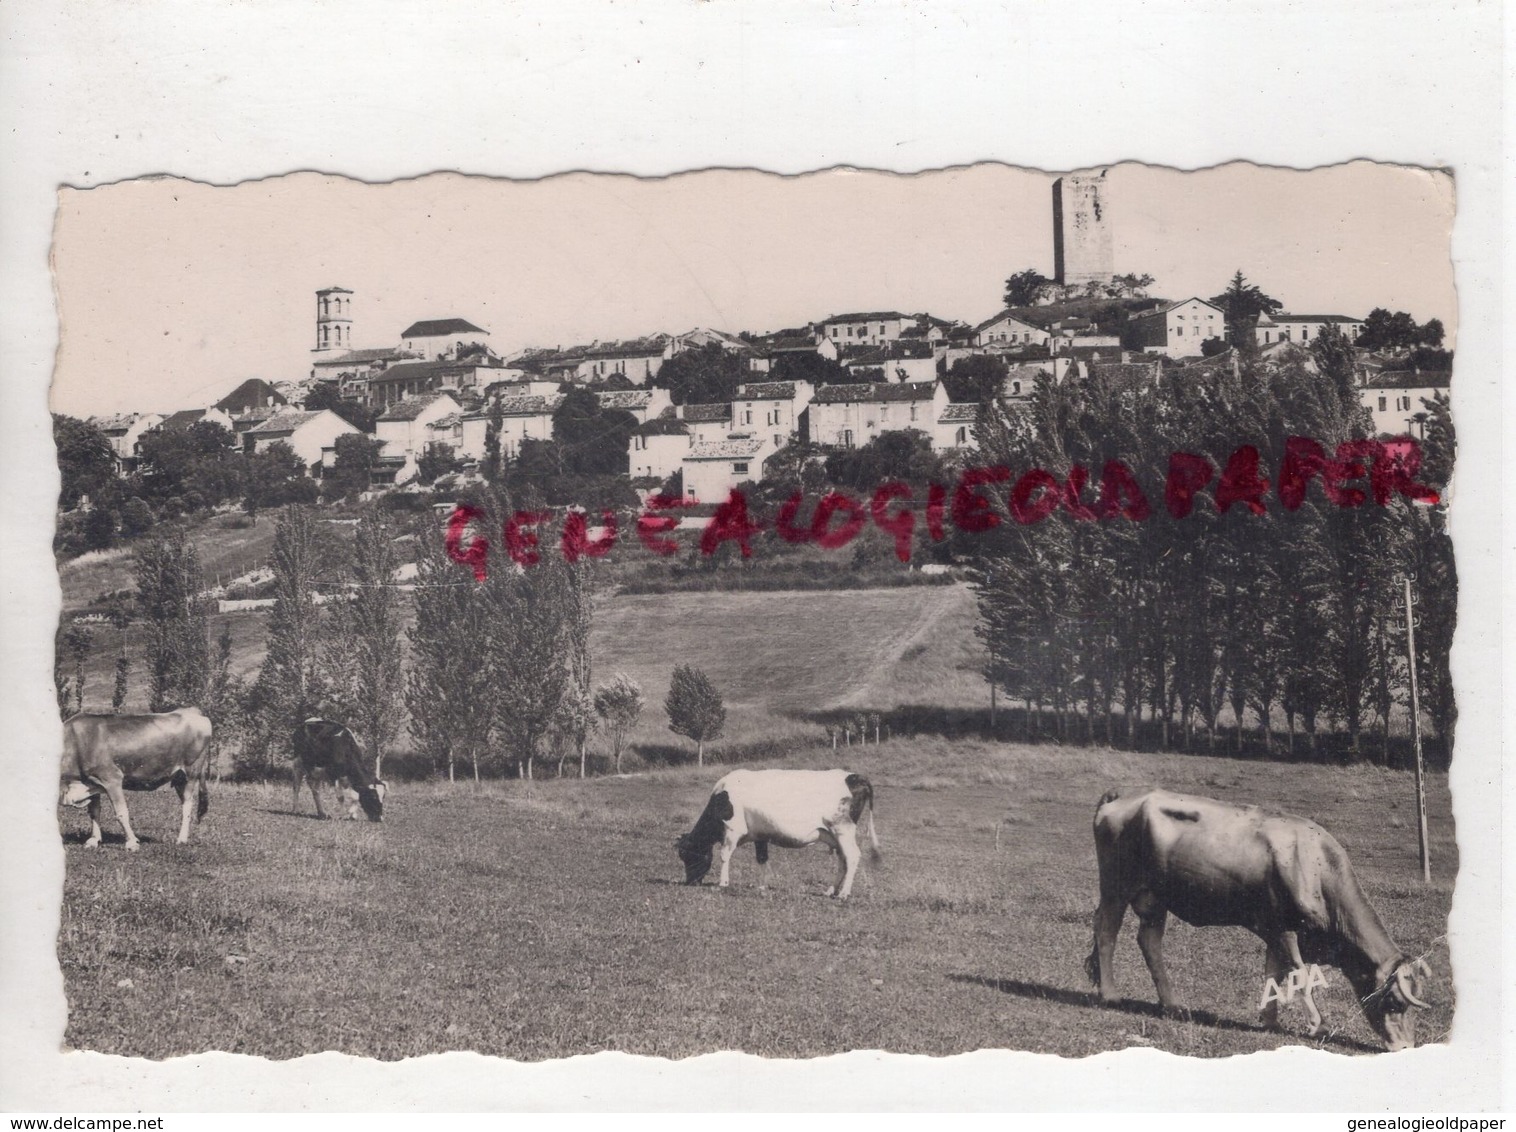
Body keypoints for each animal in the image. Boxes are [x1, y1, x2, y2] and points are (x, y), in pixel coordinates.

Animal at [59, 703, 215, 854]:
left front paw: (132, 843)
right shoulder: (91, 782)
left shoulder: (112, 778)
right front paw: (93, 840)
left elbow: (121, 813)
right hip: (178, 778)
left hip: (190, 772)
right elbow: (94, 812)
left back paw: (181, 839)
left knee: (187, 806)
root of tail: (192, 710)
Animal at [673, 766, 879, 897]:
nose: (690, 882)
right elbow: (762, 859)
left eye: (687, 855)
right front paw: (762, 887)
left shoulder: (732, 829)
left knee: (852, 856)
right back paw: (831, 890)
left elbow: (724, 855)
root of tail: (854, 776)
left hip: (842, 828)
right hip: (836, 835)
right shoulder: (760, 835)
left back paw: (844, 893)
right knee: (842, 860)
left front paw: (722, 884)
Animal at [1085, 794, 1425, 1048]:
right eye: (1396, 1002)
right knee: (1106, 931)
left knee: (1149, 941)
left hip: (1155, 899)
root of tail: (1121, 800)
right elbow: (1301, 976)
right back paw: (1110, 994)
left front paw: (1269, 1019)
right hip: (1116, 885)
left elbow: (1273, 973)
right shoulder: (1285, 928)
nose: (1406, 1046)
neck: (1316, 865)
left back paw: (1172, 1004)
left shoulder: (1275, 930)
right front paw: (1318, 1024)